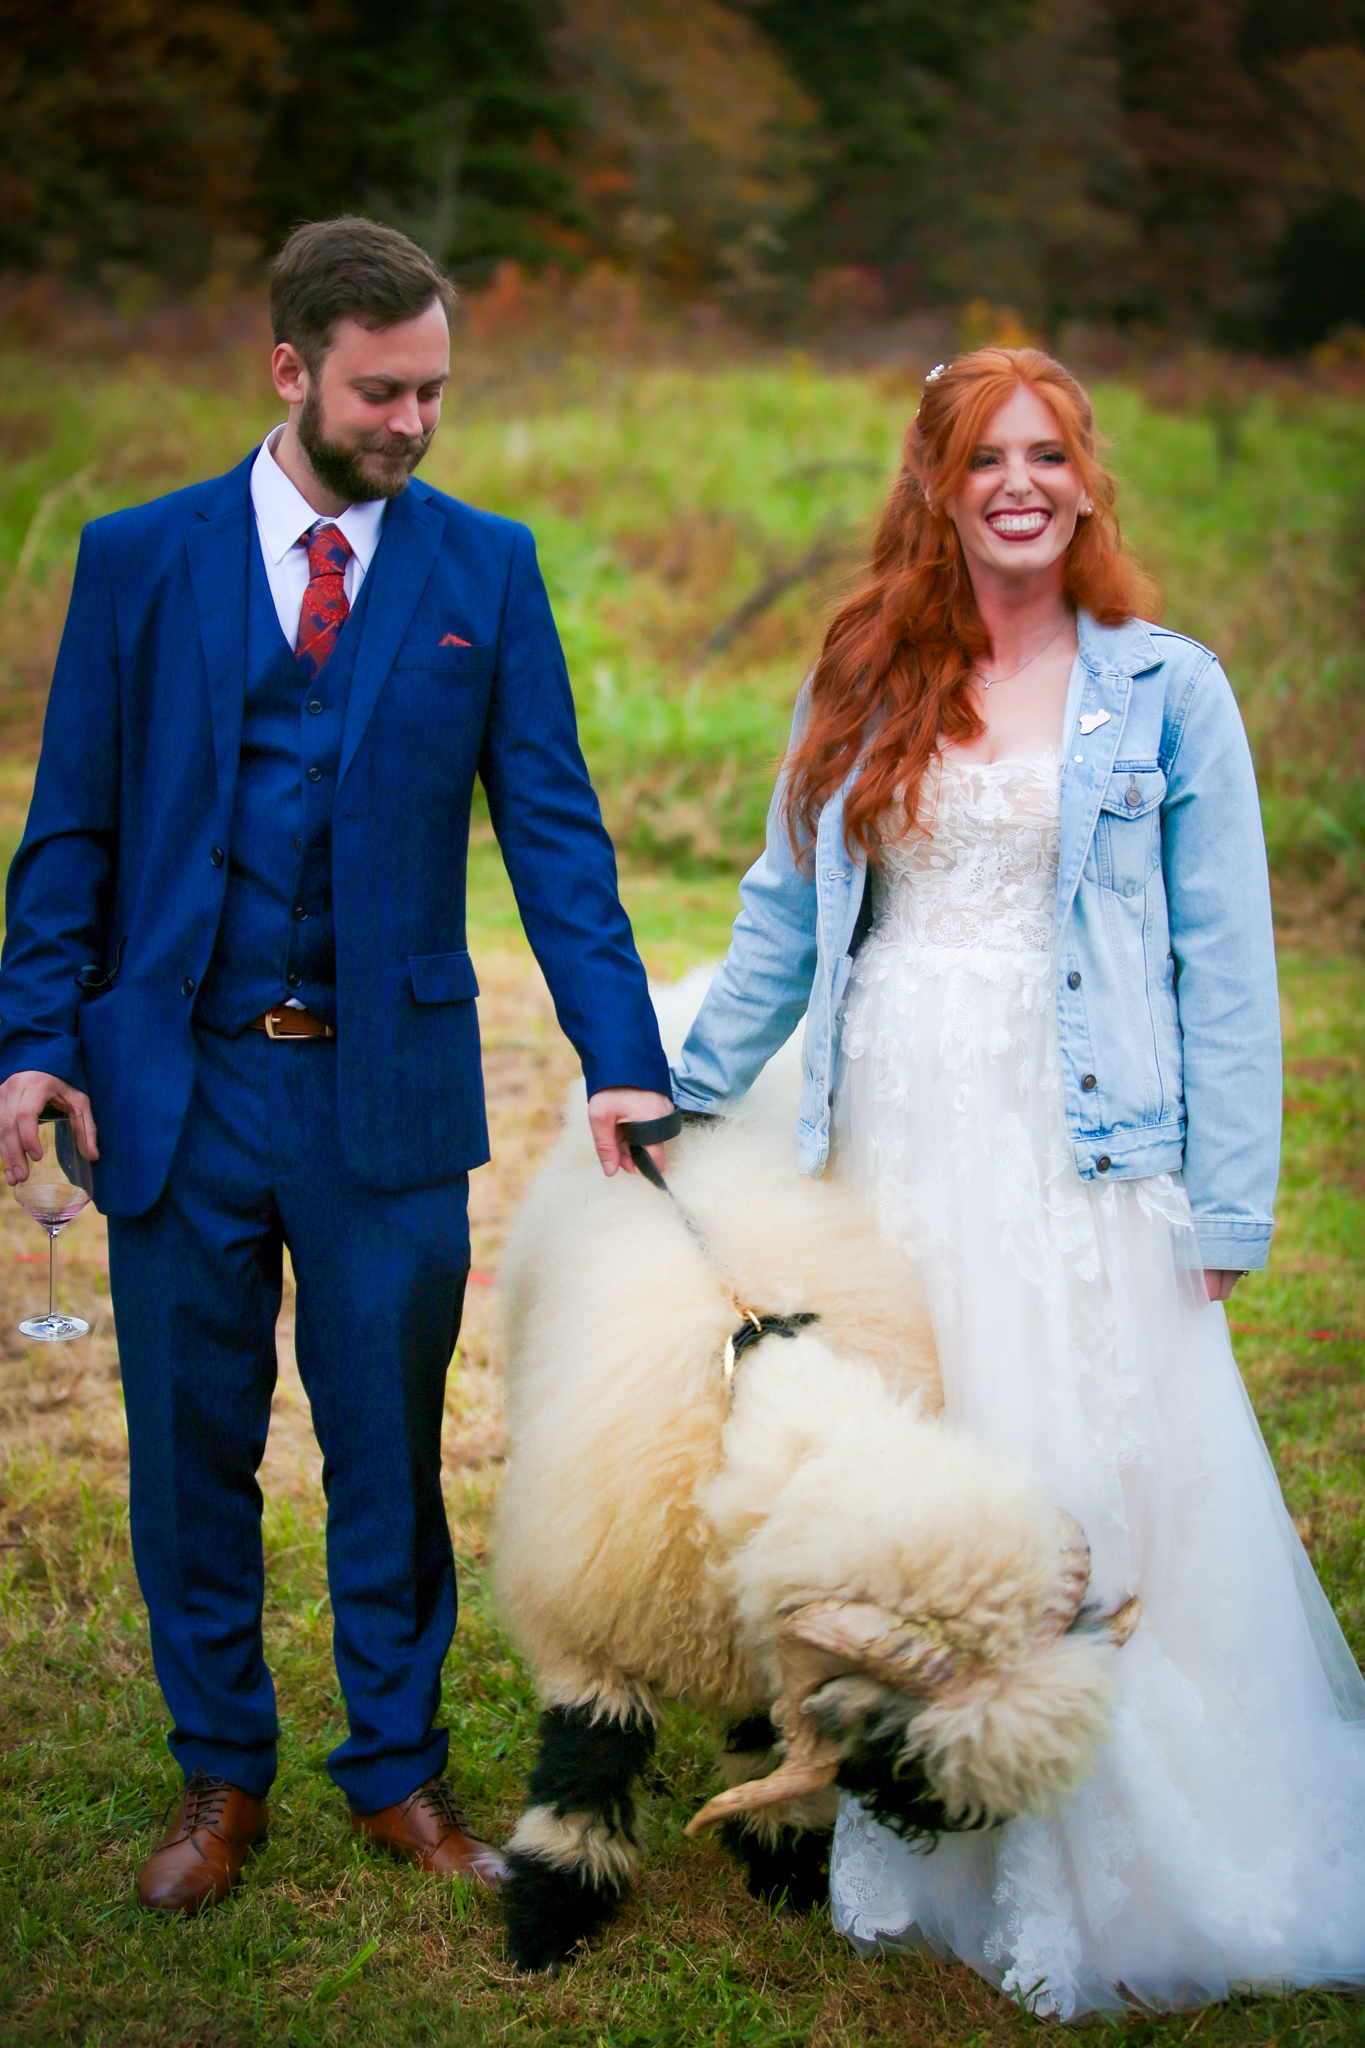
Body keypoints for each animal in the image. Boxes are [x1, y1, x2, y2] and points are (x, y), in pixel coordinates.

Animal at [497, 999, 1137, 1974]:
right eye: (901, 1746)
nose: (952, 1827)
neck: (762, 1376)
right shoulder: (591, 1623)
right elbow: (586, 1759)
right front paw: (547, 1911)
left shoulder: (751, 1636)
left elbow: (764, 1742)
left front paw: (784, 1861)